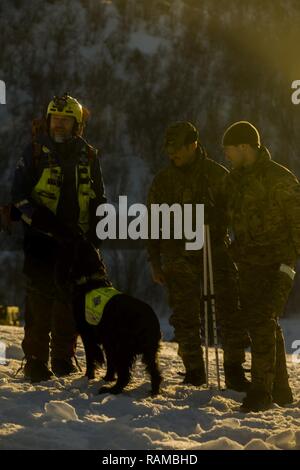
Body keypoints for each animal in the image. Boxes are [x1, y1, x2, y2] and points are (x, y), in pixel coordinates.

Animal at [60, 239, 162, 396]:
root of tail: (148, 317)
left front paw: (89, 377)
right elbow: (109, 361)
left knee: (125, 376)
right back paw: (153, 392)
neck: (90, 278)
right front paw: (107, 378)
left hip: (123, 347)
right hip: (148, 349)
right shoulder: (107, 340)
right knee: (155, 372)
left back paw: (110, 390)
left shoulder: (87, 334)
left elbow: (91, 357)